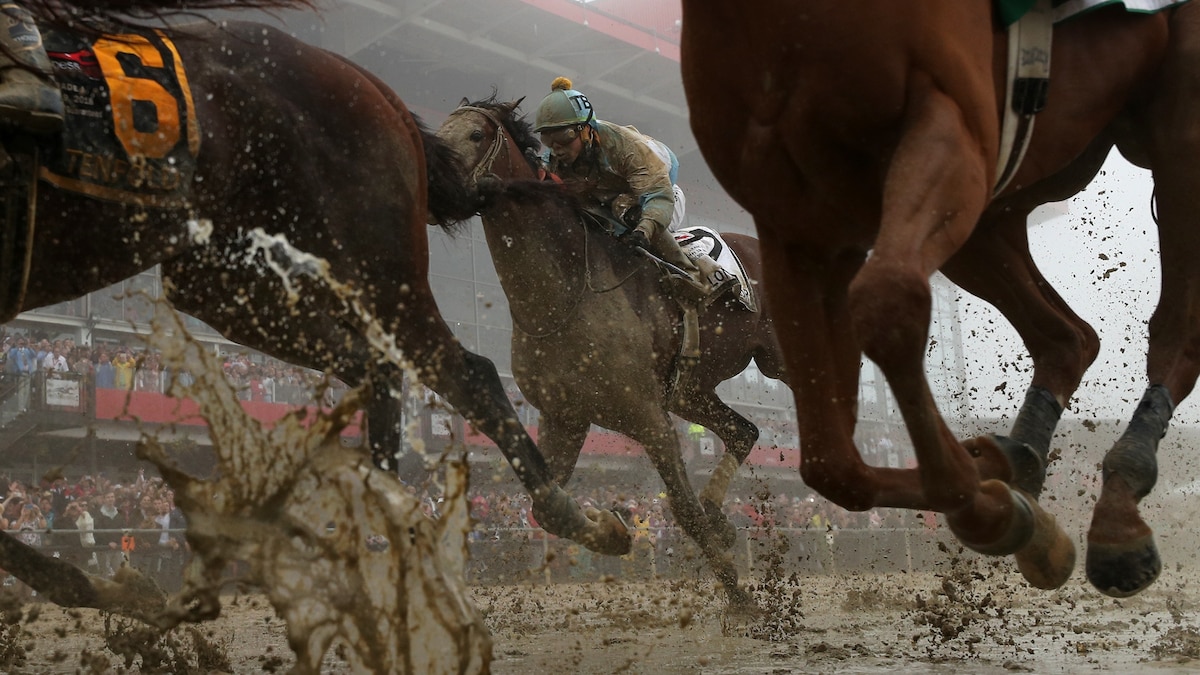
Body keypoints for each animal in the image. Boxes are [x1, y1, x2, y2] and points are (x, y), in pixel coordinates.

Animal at [0, 2, 631, 587]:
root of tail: (376, 88)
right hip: (226, 281)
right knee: (381, 369)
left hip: (375, 264)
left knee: (464, 373)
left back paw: (570, 516)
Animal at [435, 97, 790, 608]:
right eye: (437, 133)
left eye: (476, 135)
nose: (435, 184)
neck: (566, 293)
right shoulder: (564, 416)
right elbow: (545, 509)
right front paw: (614, 529)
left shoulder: (648, 417)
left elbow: (682, 510)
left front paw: (742, 600)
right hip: (690, 391)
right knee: (744, 431)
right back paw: (720, 513)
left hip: (774, 361)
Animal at [679, 1, 1200, 597]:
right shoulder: (798, 223)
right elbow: (830, 461)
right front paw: (1001, 496)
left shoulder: (945, 127)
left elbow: (886, 303)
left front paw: (985, 498)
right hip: (996, 207)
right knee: (1068, 337)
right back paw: (1025, 466)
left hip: (1175, 128)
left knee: (1175, 331)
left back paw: (1119, 515)